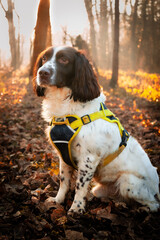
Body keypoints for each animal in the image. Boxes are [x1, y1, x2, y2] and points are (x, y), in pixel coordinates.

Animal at [32, 45, 159, 214]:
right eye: (44, 58)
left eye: (64, 59)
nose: (42, 72)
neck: (68, 111)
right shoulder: (64, 155)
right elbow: (64, 180)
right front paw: (58, 200)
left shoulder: (89, 158)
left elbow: (80, 185)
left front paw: (76, 208)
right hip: (102, 189)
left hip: (128, 182)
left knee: (154, 203)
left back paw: (143, 209)